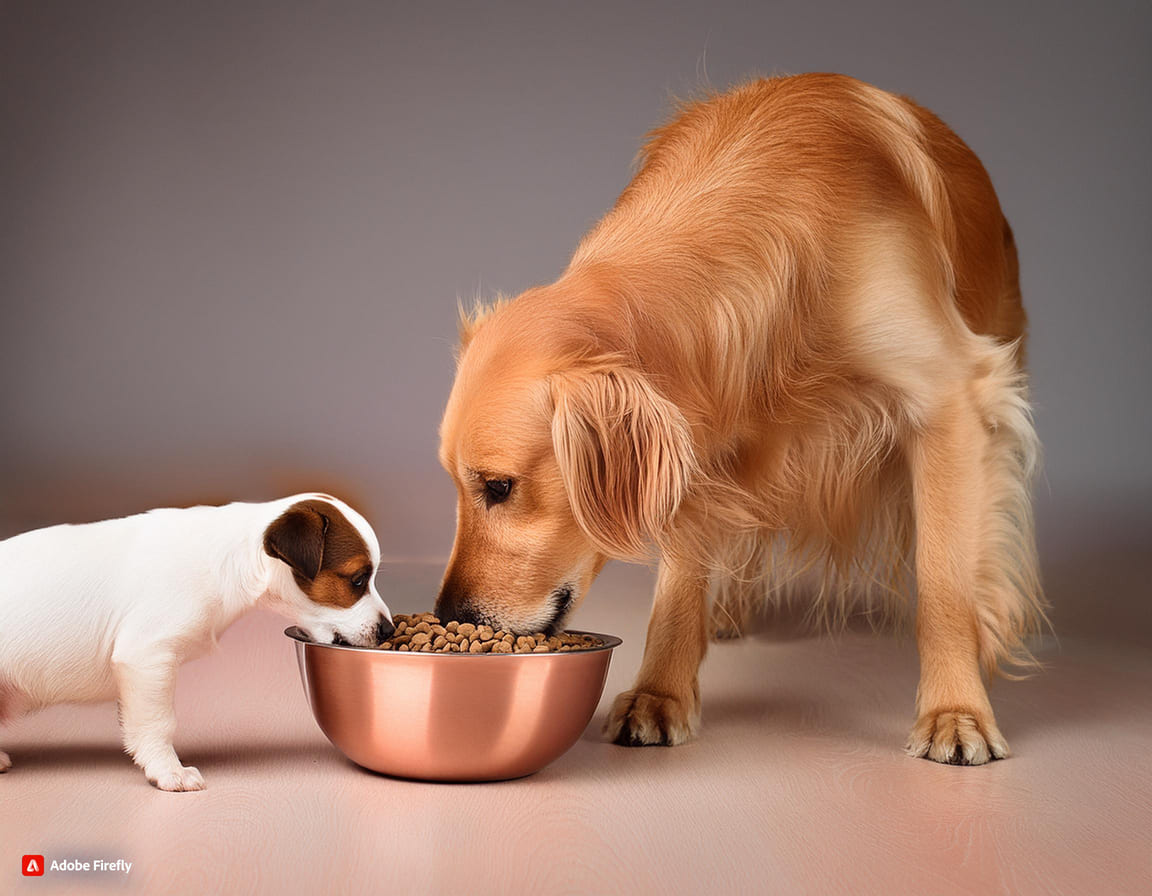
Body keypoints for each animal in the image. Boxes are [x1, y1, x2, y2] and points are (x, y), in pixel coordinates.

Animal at [0, 495, 391, 787]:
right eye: (358, 580)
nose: (388, 631)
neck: (231, 559)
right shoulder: (147, 657)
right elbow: (158, 723)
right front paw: (168, 770)